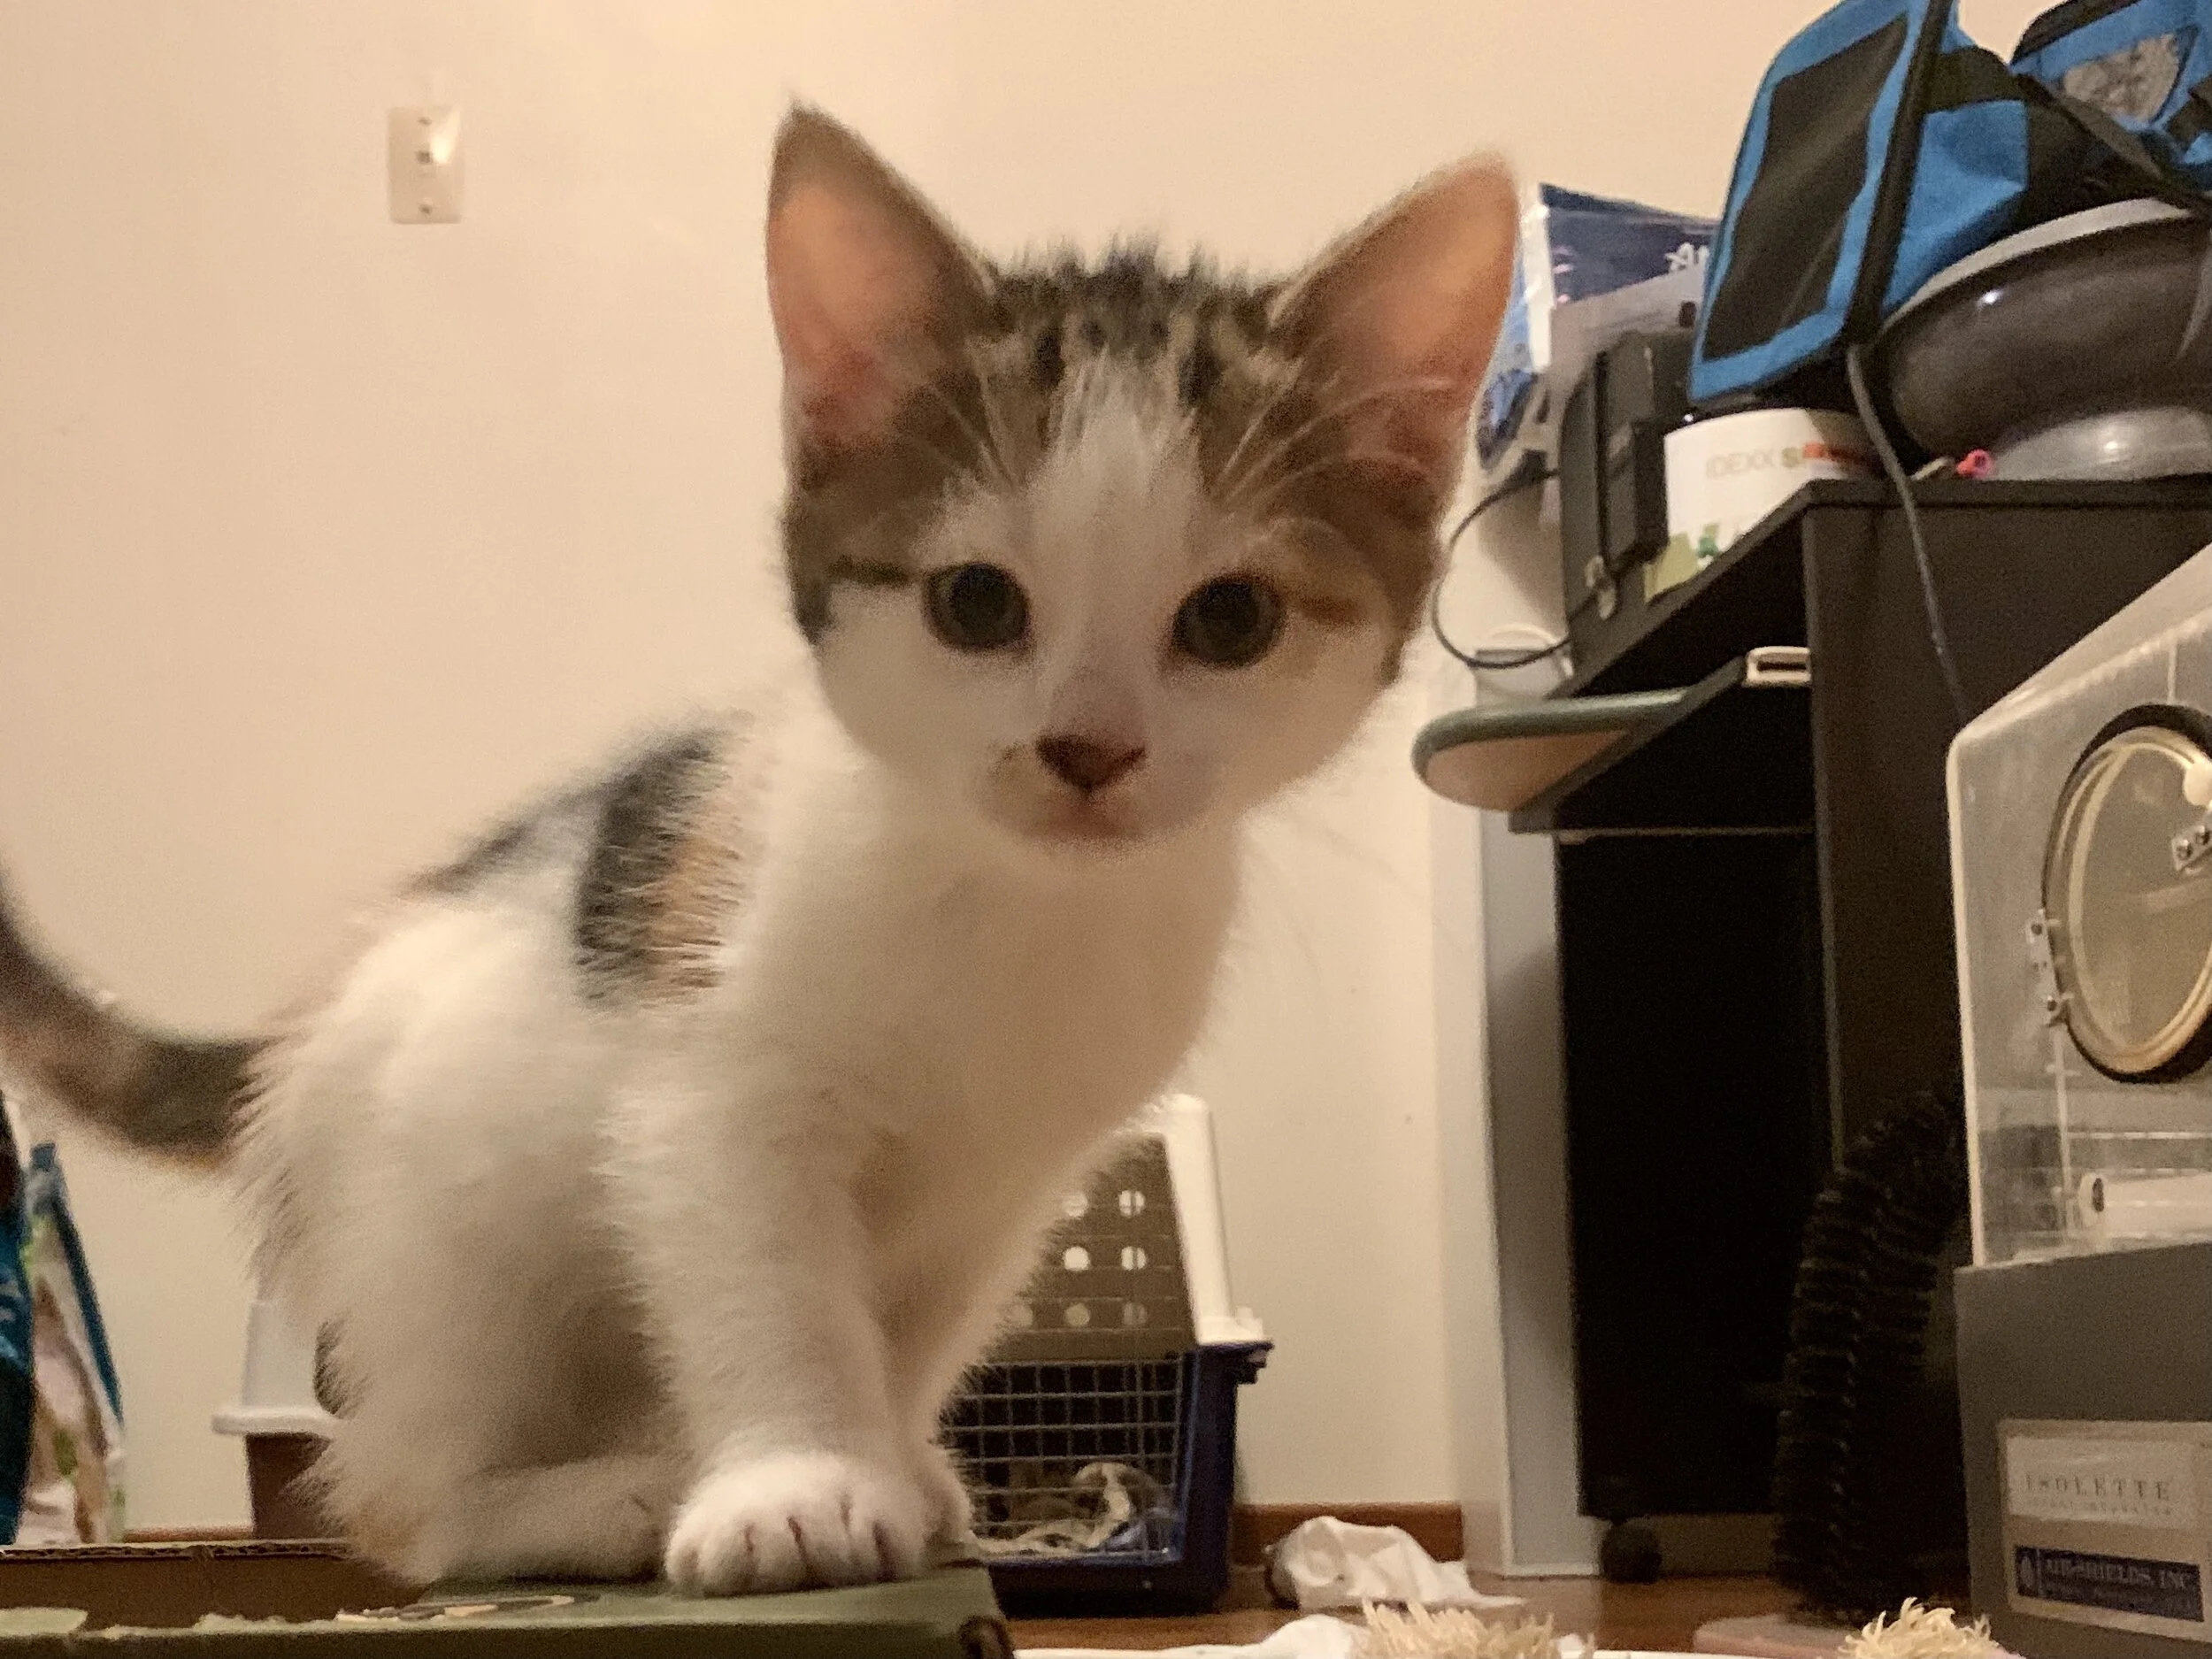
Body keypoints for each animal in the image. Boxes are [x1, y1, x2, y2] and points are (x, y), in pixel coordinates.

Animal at [0, 106, 1515, 1595]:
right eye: (976, 604)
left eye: (1231, 619)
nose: (1087, 750)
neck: (1017, 911)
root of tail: (297, 1036)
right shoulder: (711, 1097)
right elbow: (774, 1290)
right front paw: (796, 1485)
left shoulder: (1010, 1187)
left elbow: (915, 1327)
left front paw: (893, 1459)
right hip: (452, 1244)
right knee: (400, 1508)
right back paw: (609, 1491)